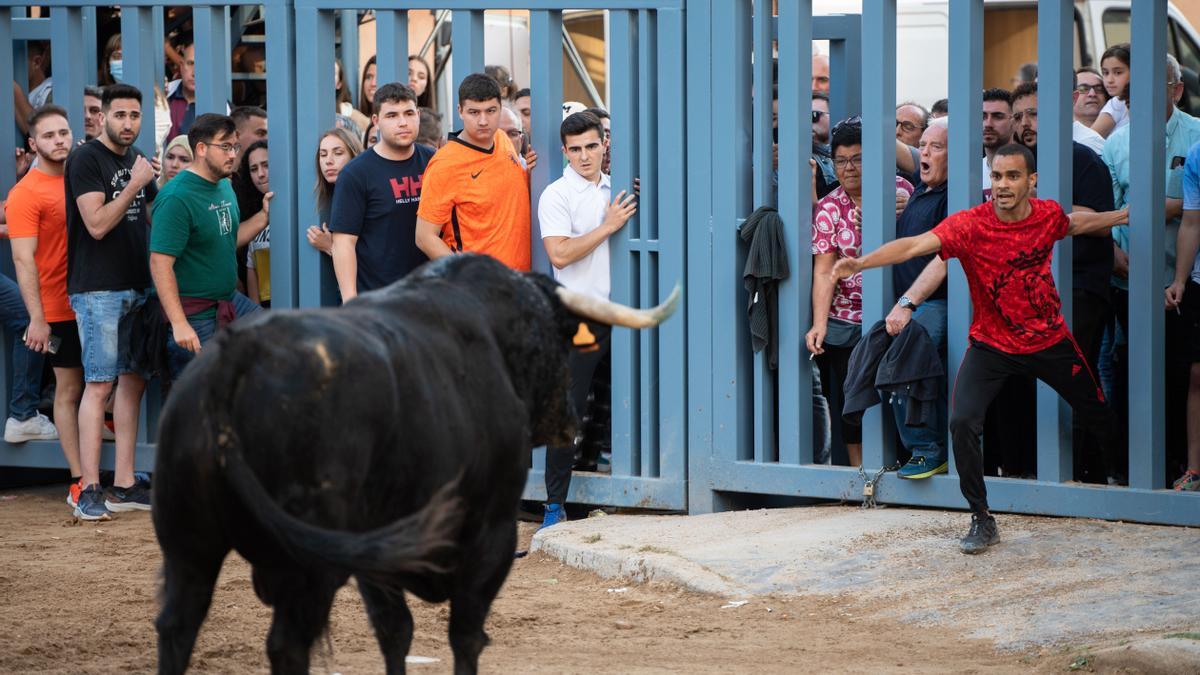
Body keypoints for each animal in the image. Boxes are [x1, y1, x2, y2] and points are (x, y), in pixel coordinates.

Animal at [152, 253, 676, 672]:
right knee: (287, 644)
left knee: (177, 628)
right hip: (309, 562)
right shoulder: (492, 534)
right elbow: (465, 635)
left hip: (189, 547)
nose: (570, 420)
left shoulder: (378, 552)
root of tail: (235, 357)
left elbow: (395, 632)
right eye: (559, 340)